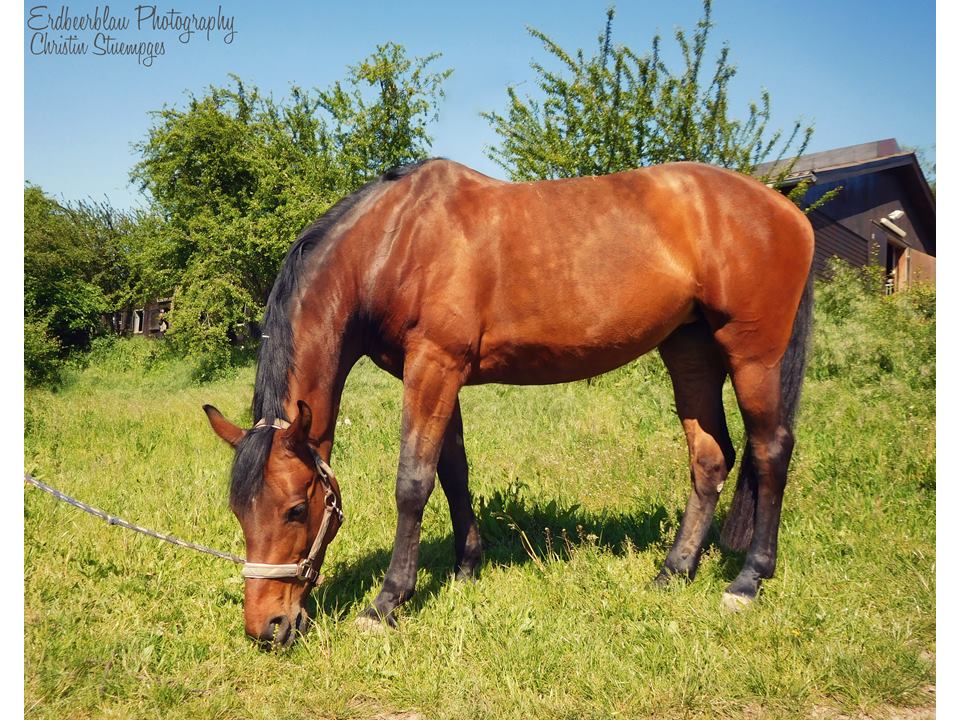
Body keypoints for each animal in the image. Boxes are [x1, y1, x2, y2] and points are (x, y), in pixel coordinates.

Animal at [206, 158, 812, 648]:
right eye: (238, 511)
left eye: (296, 509)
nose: (268, 628)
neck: (393, 241)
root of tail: (785, 209)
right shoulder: (438, 374)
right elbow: (452, 471)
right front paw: (466, 568)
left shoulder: (433, 366)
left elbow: (413, 482)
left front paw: (387, 603)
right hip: (689, 348)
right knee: (709, 458)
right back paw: (674, 570)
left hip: (752, 354)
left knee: (770, 450)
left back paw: (748, 580)